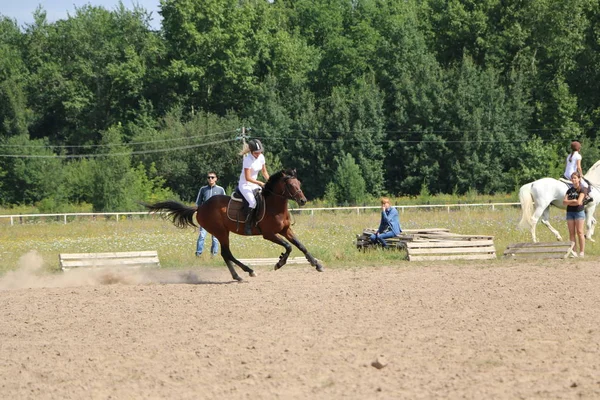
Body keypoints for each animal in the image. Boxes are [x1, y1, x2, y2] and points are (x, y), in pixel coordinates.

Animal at [144, 169, 324, 282]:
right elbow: (288, 247)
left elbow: (300, 245)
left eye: (299, 183)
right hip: (221, 232)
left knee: (225, 254)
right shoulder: (269, 234)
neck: (275, 206)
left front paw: (316, 264)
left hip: (222, 233)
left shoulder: (286, 230)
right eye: (291, 185)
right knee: (227, 253)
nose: (303, 200)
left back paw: (237, 276)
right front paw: (279, 263)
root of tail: (201, 207)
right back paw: (249, 271)